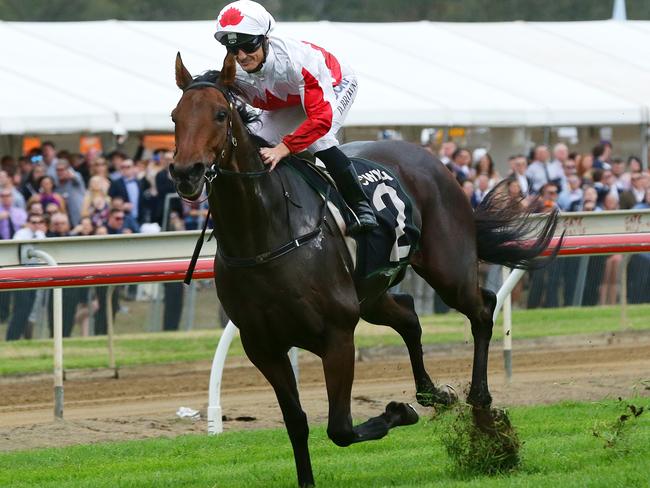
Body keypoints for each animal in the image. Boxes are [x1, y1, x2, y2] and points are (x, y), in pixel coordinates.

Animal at [171, 51, 556, 486]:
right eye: (174, 117)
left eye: (220, 114)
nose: (185, 172)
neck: (264, 236)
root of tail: (431, 159)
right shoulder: (263, 347)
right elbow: (296, 423)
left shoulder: (337, 335)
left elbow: (339, 428)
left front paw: (399, 412)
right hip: (371, 294)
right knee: (409, 315)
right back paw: (435, 394)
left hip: (447, 270)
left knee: (483, 308)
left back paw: (482, 410)